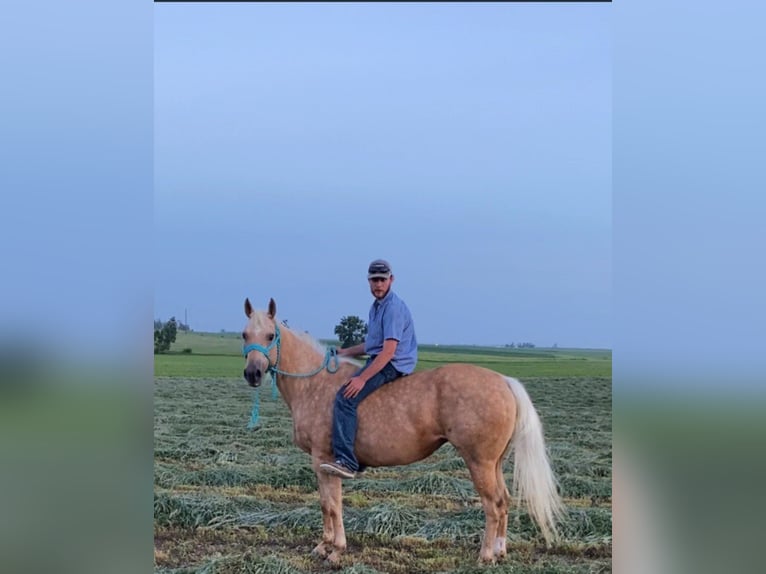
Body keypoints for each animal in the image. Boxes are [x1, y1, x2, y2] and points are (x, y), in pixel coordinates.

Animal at [243, 302, 568, 568]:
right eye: (245, 335)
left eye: (270, 336)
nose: (253, 373)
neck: (315, 383)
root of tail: (504, 381)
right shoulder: (323, 465)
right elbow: (327, 505)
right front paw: (323, 546)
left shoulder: (324, 460)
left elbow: (332, 505)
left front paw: (335, 550)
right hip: (495, 463)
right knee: (504, 501)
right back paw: (500, 551)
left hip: (479, 463)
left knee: (493, 504)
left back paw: (485, 555)